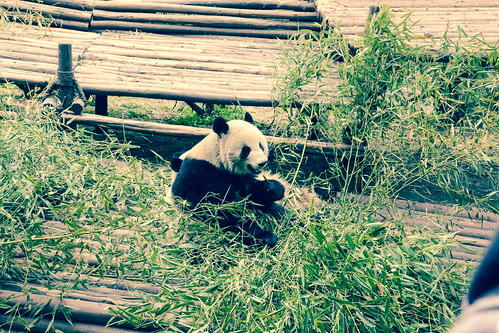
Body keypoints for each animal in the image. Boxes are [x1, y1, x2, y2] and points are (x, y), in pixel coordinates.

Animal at [169, 113, 290, 245]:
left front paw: (275, 188)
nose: (262, 163)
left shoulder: (239, 177)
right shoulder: (204, 174)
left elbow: (251, 195)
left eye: (260, 145)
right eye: (246, 150)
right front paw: (265, 236)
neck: (216, 157)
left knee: (280, 212)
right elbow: (222, 211)